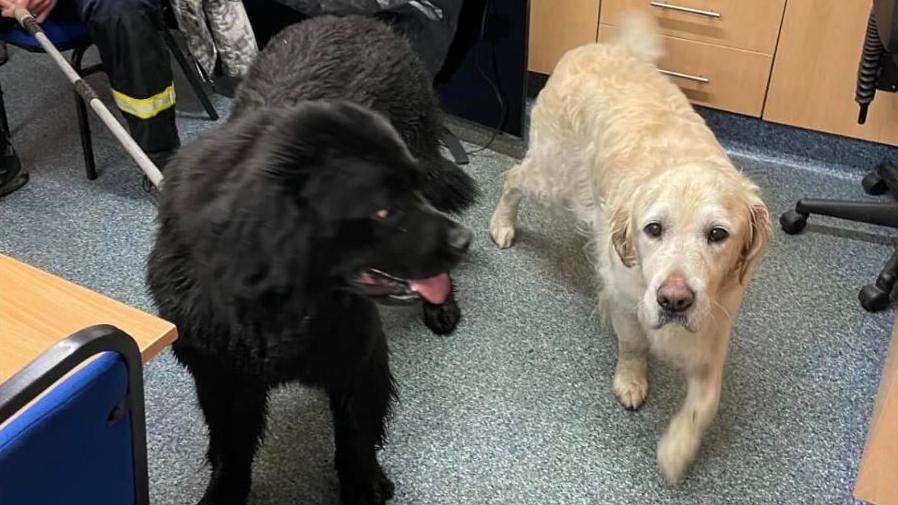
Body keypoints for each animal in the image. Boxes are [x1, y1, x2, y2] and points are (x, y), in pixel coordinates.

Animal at [490, 13, 768, 482]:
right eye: (653, 229)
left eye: (718, 234)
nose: (674, 299)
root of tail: (593, 48)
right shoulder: (624, 296)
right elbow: (634, 344)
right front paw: (632, 381)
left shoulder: (716, 320)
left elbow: (705, 401)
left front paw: (677, 449)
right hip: (554, 176)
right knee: (512, 177)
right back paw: (502, 223)